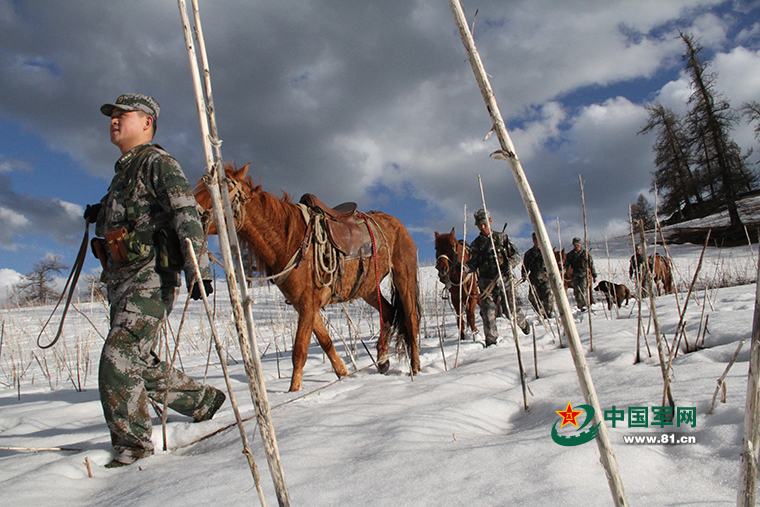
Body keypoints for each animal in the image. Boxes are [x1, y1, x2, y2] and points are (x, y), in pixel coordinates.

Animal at [193, 164, 422, 392]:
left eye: (218, 190)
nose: (194, 214)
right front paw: (343, 375)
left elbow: (300, 351)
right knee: (389, 312)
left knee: (410, 319)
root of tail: (397, 224)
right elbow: (325, 341)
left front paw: (294, 392)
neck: (290, 241)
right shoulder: (304, 305)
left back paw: (415, 366)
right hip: (368, 288)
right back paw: (383, 360)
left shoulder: (307, 303)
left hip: (404, 276)